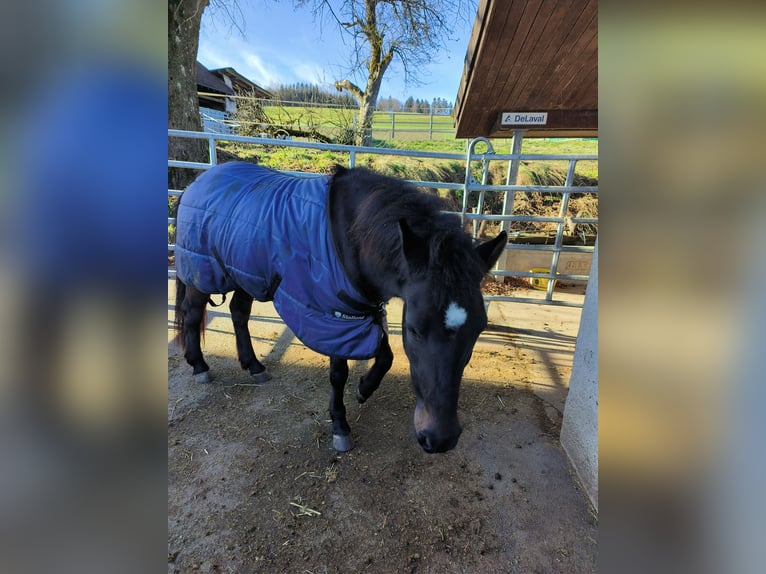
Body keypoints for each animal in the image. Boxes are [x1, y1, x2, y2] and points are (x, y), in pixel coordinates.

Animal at [176, 162, 510, 454]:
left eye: (478, 329)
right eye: (415, 329)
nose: (440, 439)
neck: (351, 235)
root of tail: (197, 182)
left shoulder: (365, 310)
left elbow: (386, 355)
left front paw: (364, 388)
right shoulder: (332, 315)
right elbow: (339, 373)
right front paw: (340, 425)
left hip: (244, 273)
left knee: (239, 312)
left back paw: (254, 366)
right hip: (202, 274)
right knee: (192, 314)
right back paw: (199, 366)